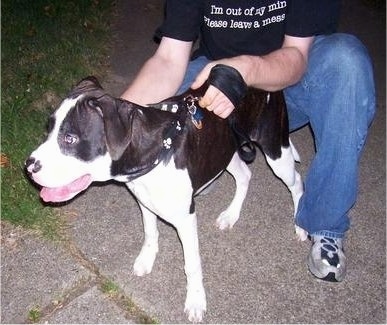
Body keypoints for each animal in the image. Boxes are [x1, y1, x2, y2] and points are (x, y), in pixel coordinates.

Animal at [25, 67, 308, 322]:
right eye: (48, 129)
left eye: (70, 139)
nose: (28, 166)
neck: (158, 150)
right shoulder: (145, 201)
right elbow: (150, 233)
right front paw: (146, 259)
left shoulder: (185, 218)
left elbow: (192, 264)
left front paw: (195, 300)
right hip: (225, 151)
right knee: (245, 175)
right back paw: (230, 215)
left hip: (276, 149)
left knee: (297, 184)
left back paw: (300, 225)